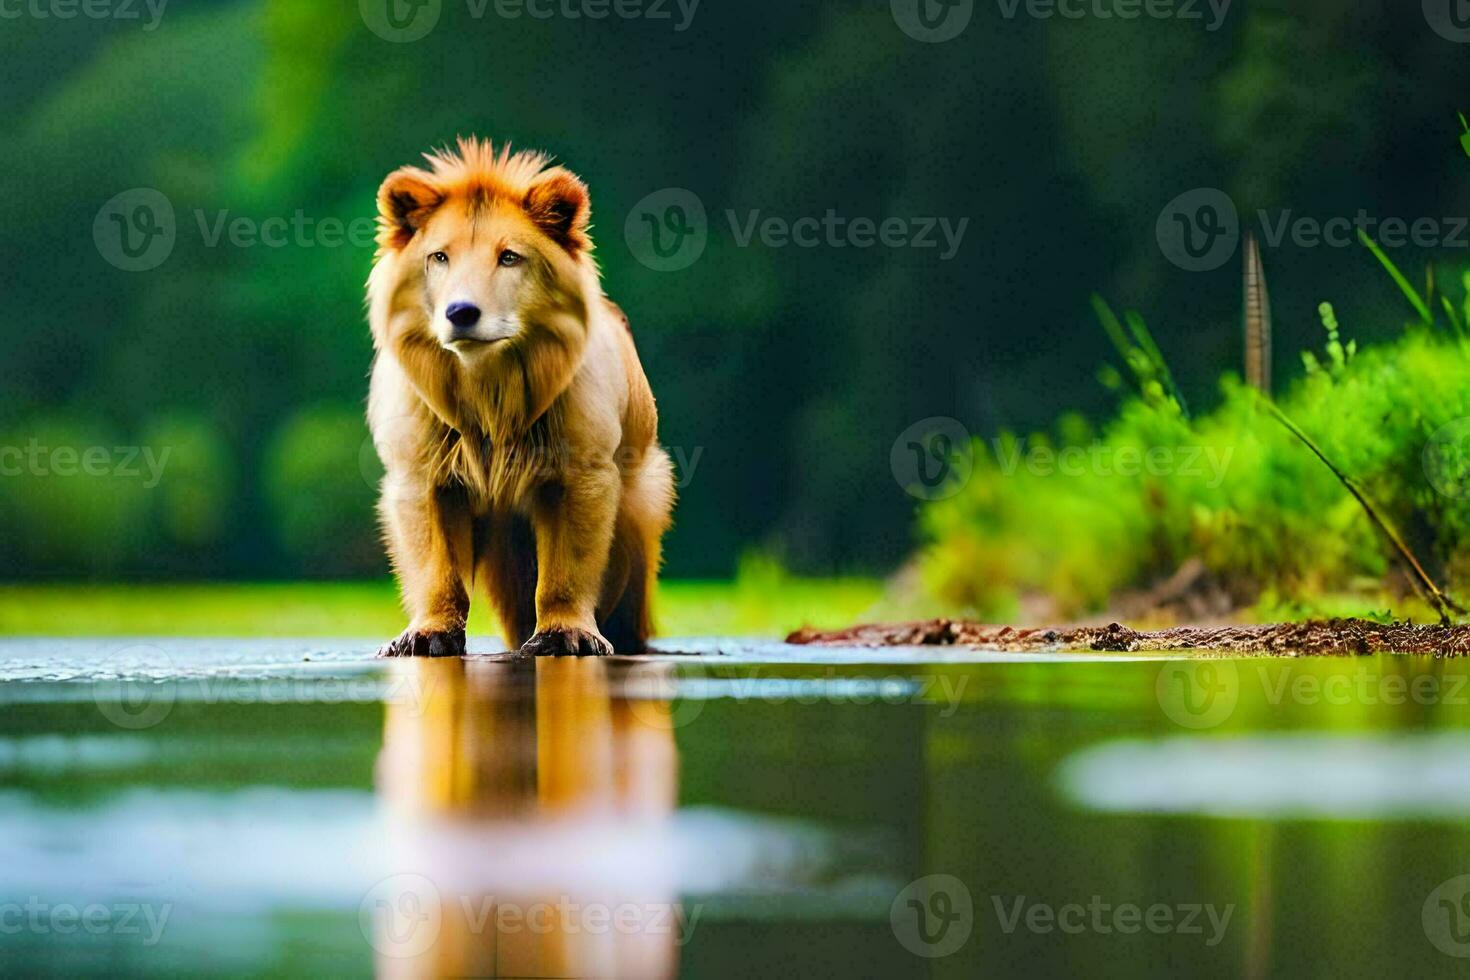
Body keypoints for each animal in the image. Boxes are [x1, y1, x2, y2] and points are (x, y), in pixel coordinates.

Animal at [366, 138, 673, 658]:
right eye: (439, 257)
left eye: (509, 257)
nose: (462, 312)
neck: (490, 388)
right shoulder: (422, 475)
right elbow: (437, 568)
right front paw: (428, 635)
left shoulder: (581, 473)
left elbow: (566, 570)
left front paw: (566, 635)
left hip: (640, 502)